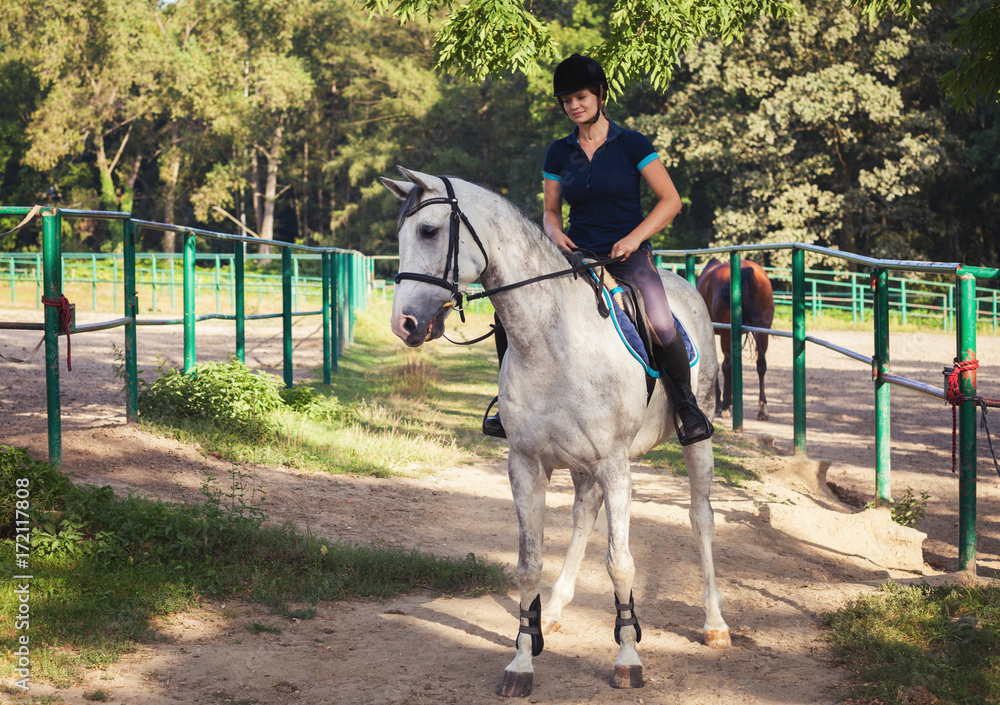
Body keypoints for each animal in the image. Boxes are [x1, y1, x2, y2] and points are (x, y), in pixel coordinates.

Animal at [378, 168, 732, 696]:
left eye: (428, 231)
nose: (404, 324)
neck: (552, 341)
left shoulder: (615, 465)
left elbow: (620, 562)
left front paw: (628, 658)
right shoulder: (526, 465)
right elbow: (529, 566)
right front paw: (522, 660)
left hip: (696, 439)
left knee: (700, 518)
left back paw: (715, 624)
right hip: (585, 466)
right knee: (584, 516)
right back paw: (559, 607)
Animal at [696, 258, 772, 418]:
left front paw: (720, 403)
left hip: (727, 335)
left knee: (727, 366)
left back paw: (725, 406)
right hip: (763, 331)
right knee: (761, 364)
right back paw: (762, 407)